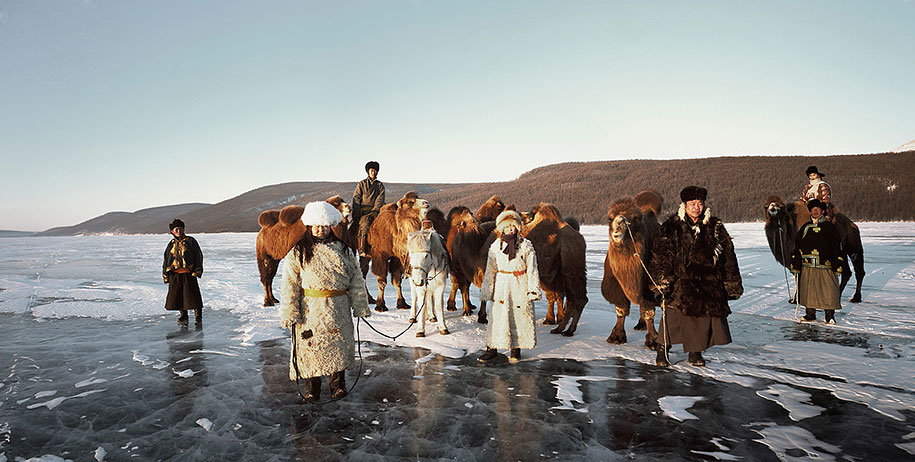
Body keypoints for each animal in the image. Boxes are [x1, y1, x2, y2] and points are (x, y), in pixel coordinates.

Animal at [524, 202, 592, 336]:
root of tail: (580, 238)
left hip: (572, 265)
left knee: (578, 298)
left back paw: (567, 330)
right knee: (572, 299)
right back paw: (560, 328)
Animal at [604, 189, 660, 348]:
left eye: (635, 218)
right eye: (610, 218)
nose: (619, 224)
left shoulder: (649, 285)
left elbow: (649, 311)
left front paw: (653, 341)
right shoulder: (616, 284)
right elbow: (621, 310)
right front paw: (616, 337)